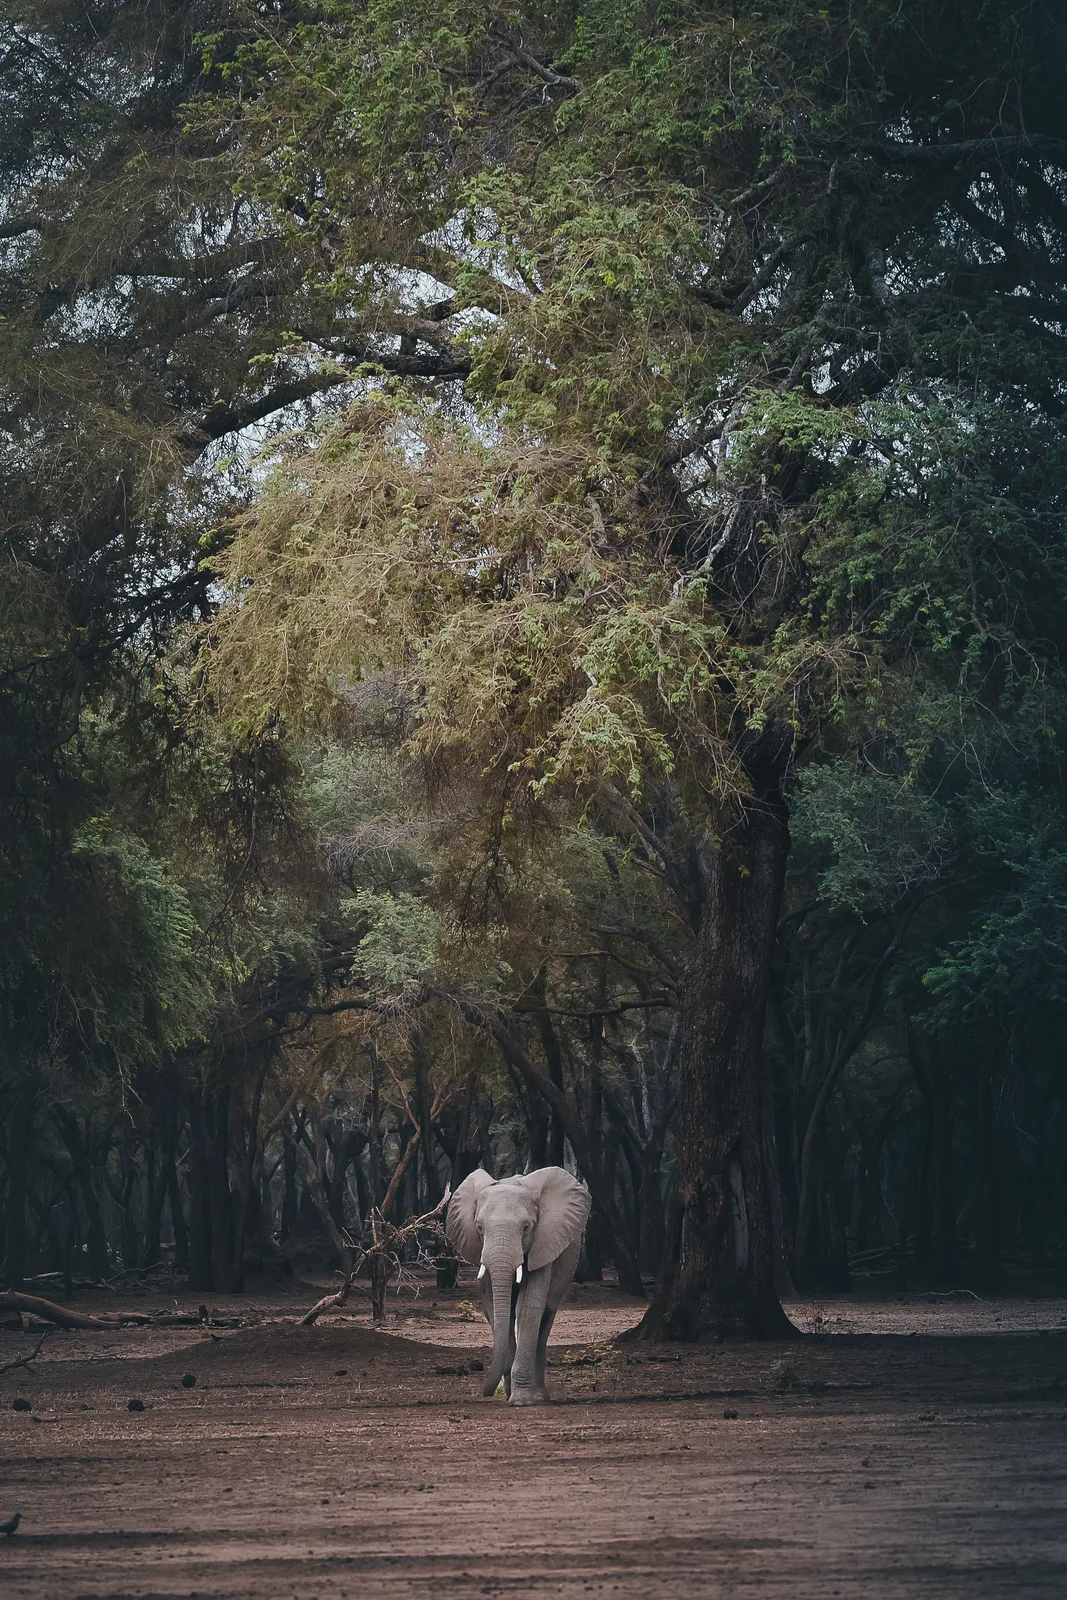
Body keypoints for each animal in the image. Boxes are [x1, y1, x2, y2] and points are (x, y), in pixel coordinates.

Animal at [446, 1165, 590, 1405]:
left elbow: (527, 1306)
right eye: (479, 1228)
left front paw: (522, 1401)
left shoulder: (544, 1244)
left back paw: (540, 1396)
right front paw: (511, 1394)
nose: (485, 1392)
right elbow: (494, 1307)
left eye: (526, 1227)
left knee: (545, 1318)